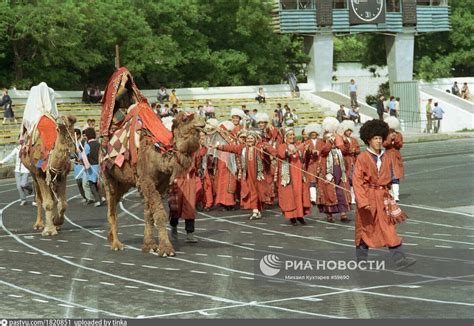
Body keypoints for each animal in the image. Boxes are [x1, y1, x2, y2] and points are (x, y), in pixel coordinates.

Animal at [100, 69, 204, 258]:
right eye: (185, 118)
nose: (202, 122)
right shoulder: (147, 180)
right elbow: (159, 214)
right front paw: (166, 249)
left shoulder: (158, 184)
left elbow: (149, 212)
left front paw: (149, 245)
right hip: (107, 176)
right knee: (111, 208)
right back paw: (117, 244)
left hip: (123, 183)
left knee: (116, 203)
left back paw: (110, 237)